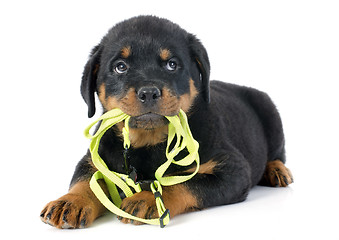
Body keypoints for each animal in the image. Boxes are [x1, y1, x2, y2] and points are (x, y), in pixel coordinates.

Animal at [41, 15, 294, 229]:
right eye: (120, 67)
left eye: (172, 64)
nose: (148, 92)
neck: (148, 143)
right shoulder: (94, 158)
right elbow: (83, 180)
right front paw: (70, 201)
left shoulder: (232, 169)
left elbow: (183, 183)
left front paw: (148, 198)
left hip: (270, 113)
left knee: (277, 153)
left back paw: (277, 171)